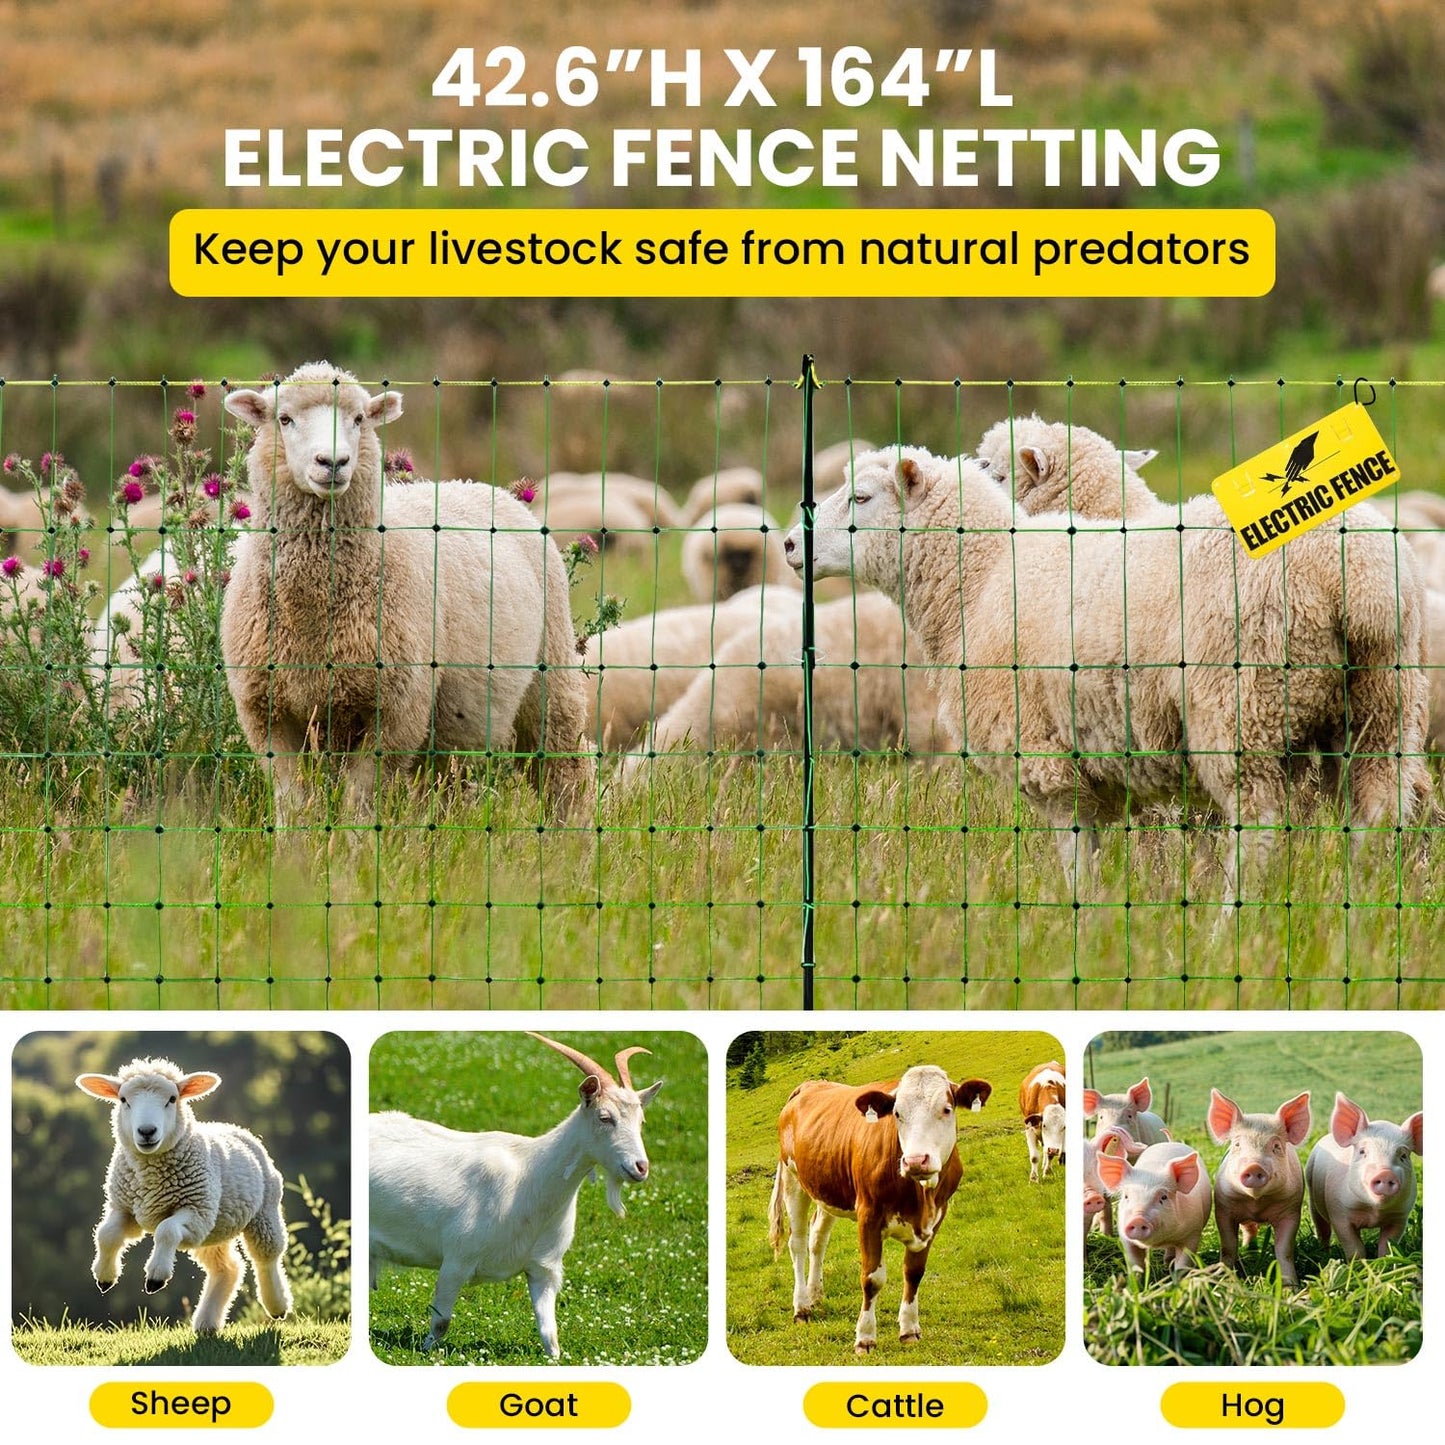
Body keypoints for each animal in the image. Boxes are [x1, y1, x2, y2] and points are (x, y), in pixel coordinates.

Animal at [75, 1057, 292, 1334]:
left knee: (267, 1257)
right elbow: (106, 1234)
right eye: (123, 1099)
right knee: (228, 1268)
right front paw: (104, 1276)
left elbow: (166, 1231)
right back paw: (207, 1323)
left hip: (262, 1211)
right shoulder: (125, 1208)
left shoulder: (196, 1211)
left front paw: (155, 1277)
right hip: (214, 1230)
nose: (147, 1131)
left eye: (172, 1098)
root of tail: (235, 1127)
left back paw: (277, 1305)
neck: (151, 1176)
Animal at [221, 363, 594, 823]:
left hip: (551, 672)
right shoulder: (267, 714)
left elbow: (358, 802)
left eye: (359, 419)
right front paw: (295, 843)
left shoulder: (397, 711)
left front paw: (354, 843)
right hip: (454, 723)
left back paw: (572, 831)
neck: (313, 612)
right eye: (285, 419)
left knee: (563, 766)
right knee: (450, 786)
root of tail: (480, 486)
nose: (333, 462)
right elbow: (293, 803)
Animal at [369, 1032, 664, 1358]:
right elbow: (441, 1321)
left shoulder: (544, 1270)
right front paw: (426, 1352)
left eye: (641, 1122)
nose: (640, 1167)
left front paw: (555, 1358)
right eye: (604, 1117)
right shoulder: (457, 1258)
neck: (529, 1178)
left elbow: (550, 1333)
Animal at [766, 1064, 992, 1355]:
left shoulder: (935, 1219)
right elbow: (872, 1278)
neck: (921, 1197)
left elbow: (914, 1273)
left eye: (946, 1109)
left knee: (817, 1239)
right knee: (797, 1243)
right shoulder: (868, 1216)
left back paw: (815, 1295)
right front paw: (865, 1338)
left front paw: (909, 1329)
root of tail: (809, 1085)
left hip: (826, 1187)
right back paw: (802, 1307)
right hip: (793, 1179)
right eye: (897, 1113)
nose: (915, 1160)